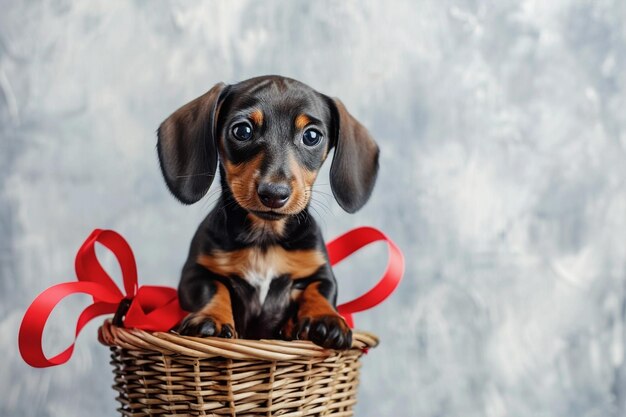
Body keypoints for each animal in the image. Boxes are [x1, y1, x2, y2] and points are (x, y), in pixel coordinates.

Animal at [158, 74, 378, 348]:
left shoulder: (320, 272)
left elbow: (319, 290)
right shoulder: (193, 274)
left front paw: (326, 319)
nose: (274, 193)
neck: (265, 239)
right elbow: (214, 288)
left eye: (312, 136)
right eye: (242, 130)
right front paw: (212, 318)